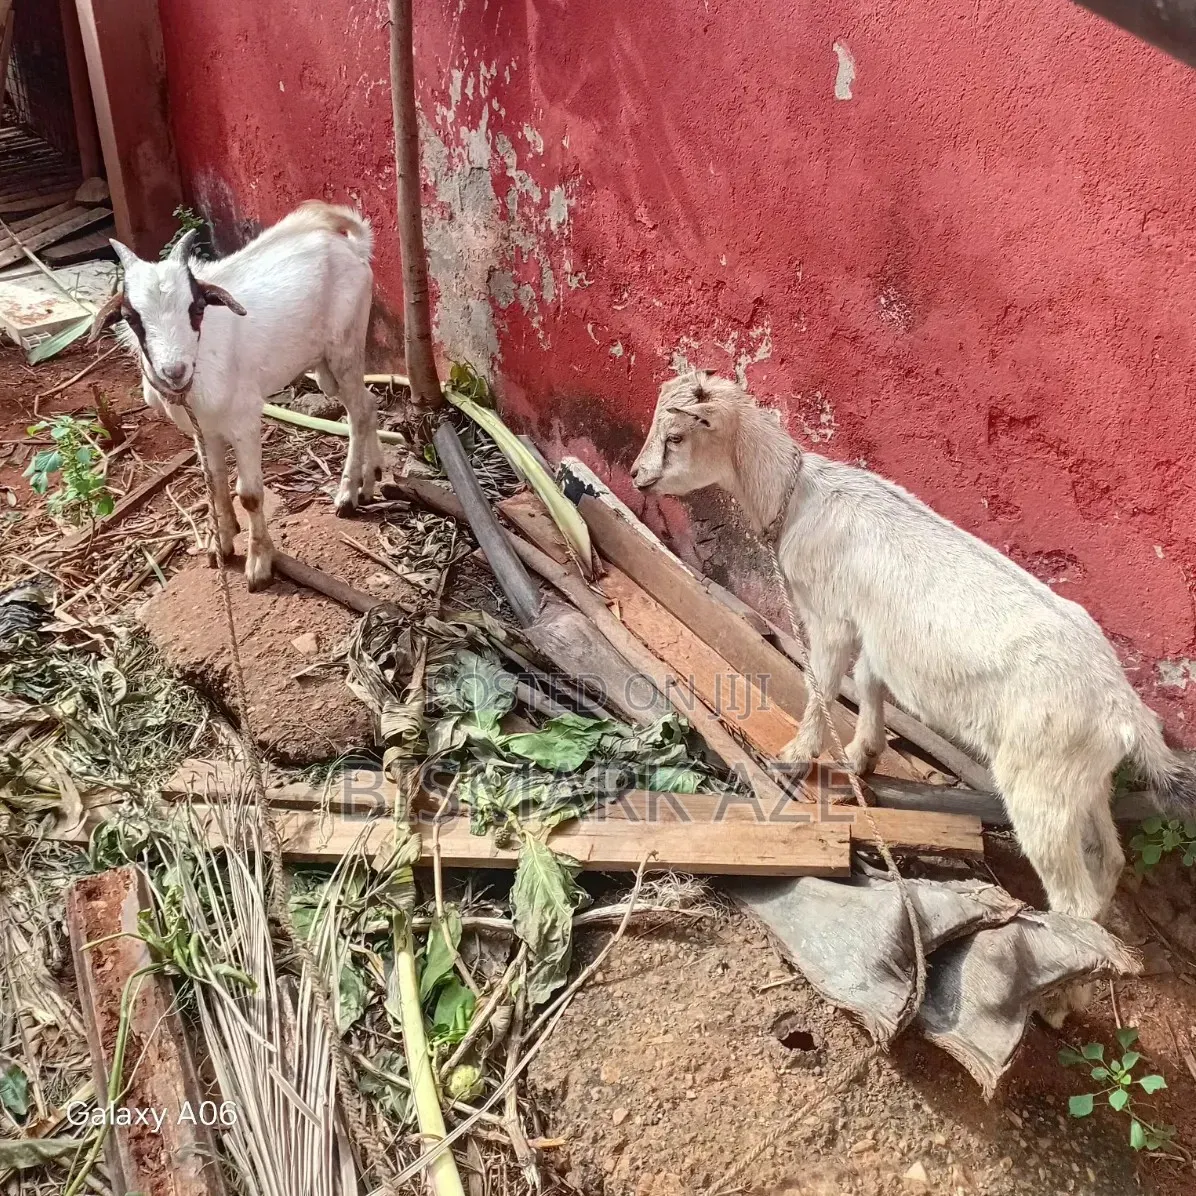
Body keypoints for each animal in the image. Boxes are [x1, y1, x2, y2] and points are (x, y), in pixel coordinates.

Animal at [89, 201, 382, 590]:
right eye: (131, 317)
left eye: (197, 307)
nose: (174, 371)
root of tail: (353, 245)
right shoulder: (203, 430)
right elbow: (213, 484)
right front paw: (221, 544)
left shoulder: (244, 421)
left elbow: (250, 495)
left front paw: (259, 563)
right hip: (324, 367)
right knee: (368, 403)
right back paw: (371, 479)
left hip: (345, 347)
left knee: (358, 412)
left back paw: (347, 495)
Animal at [631, 371, 1196, 923]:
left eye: (676, 436)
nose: (637, 476)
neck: (800, 499)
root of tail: (1123, 708)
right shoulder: (876, 632)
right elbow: (868, 680)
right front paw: (861, 755)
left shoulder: (830, 615)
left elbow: (824, 684)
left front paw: (795, 755)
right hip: (1084, 781)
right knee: (1109, 855)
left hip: (1039, 785)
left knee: (1071, 891)